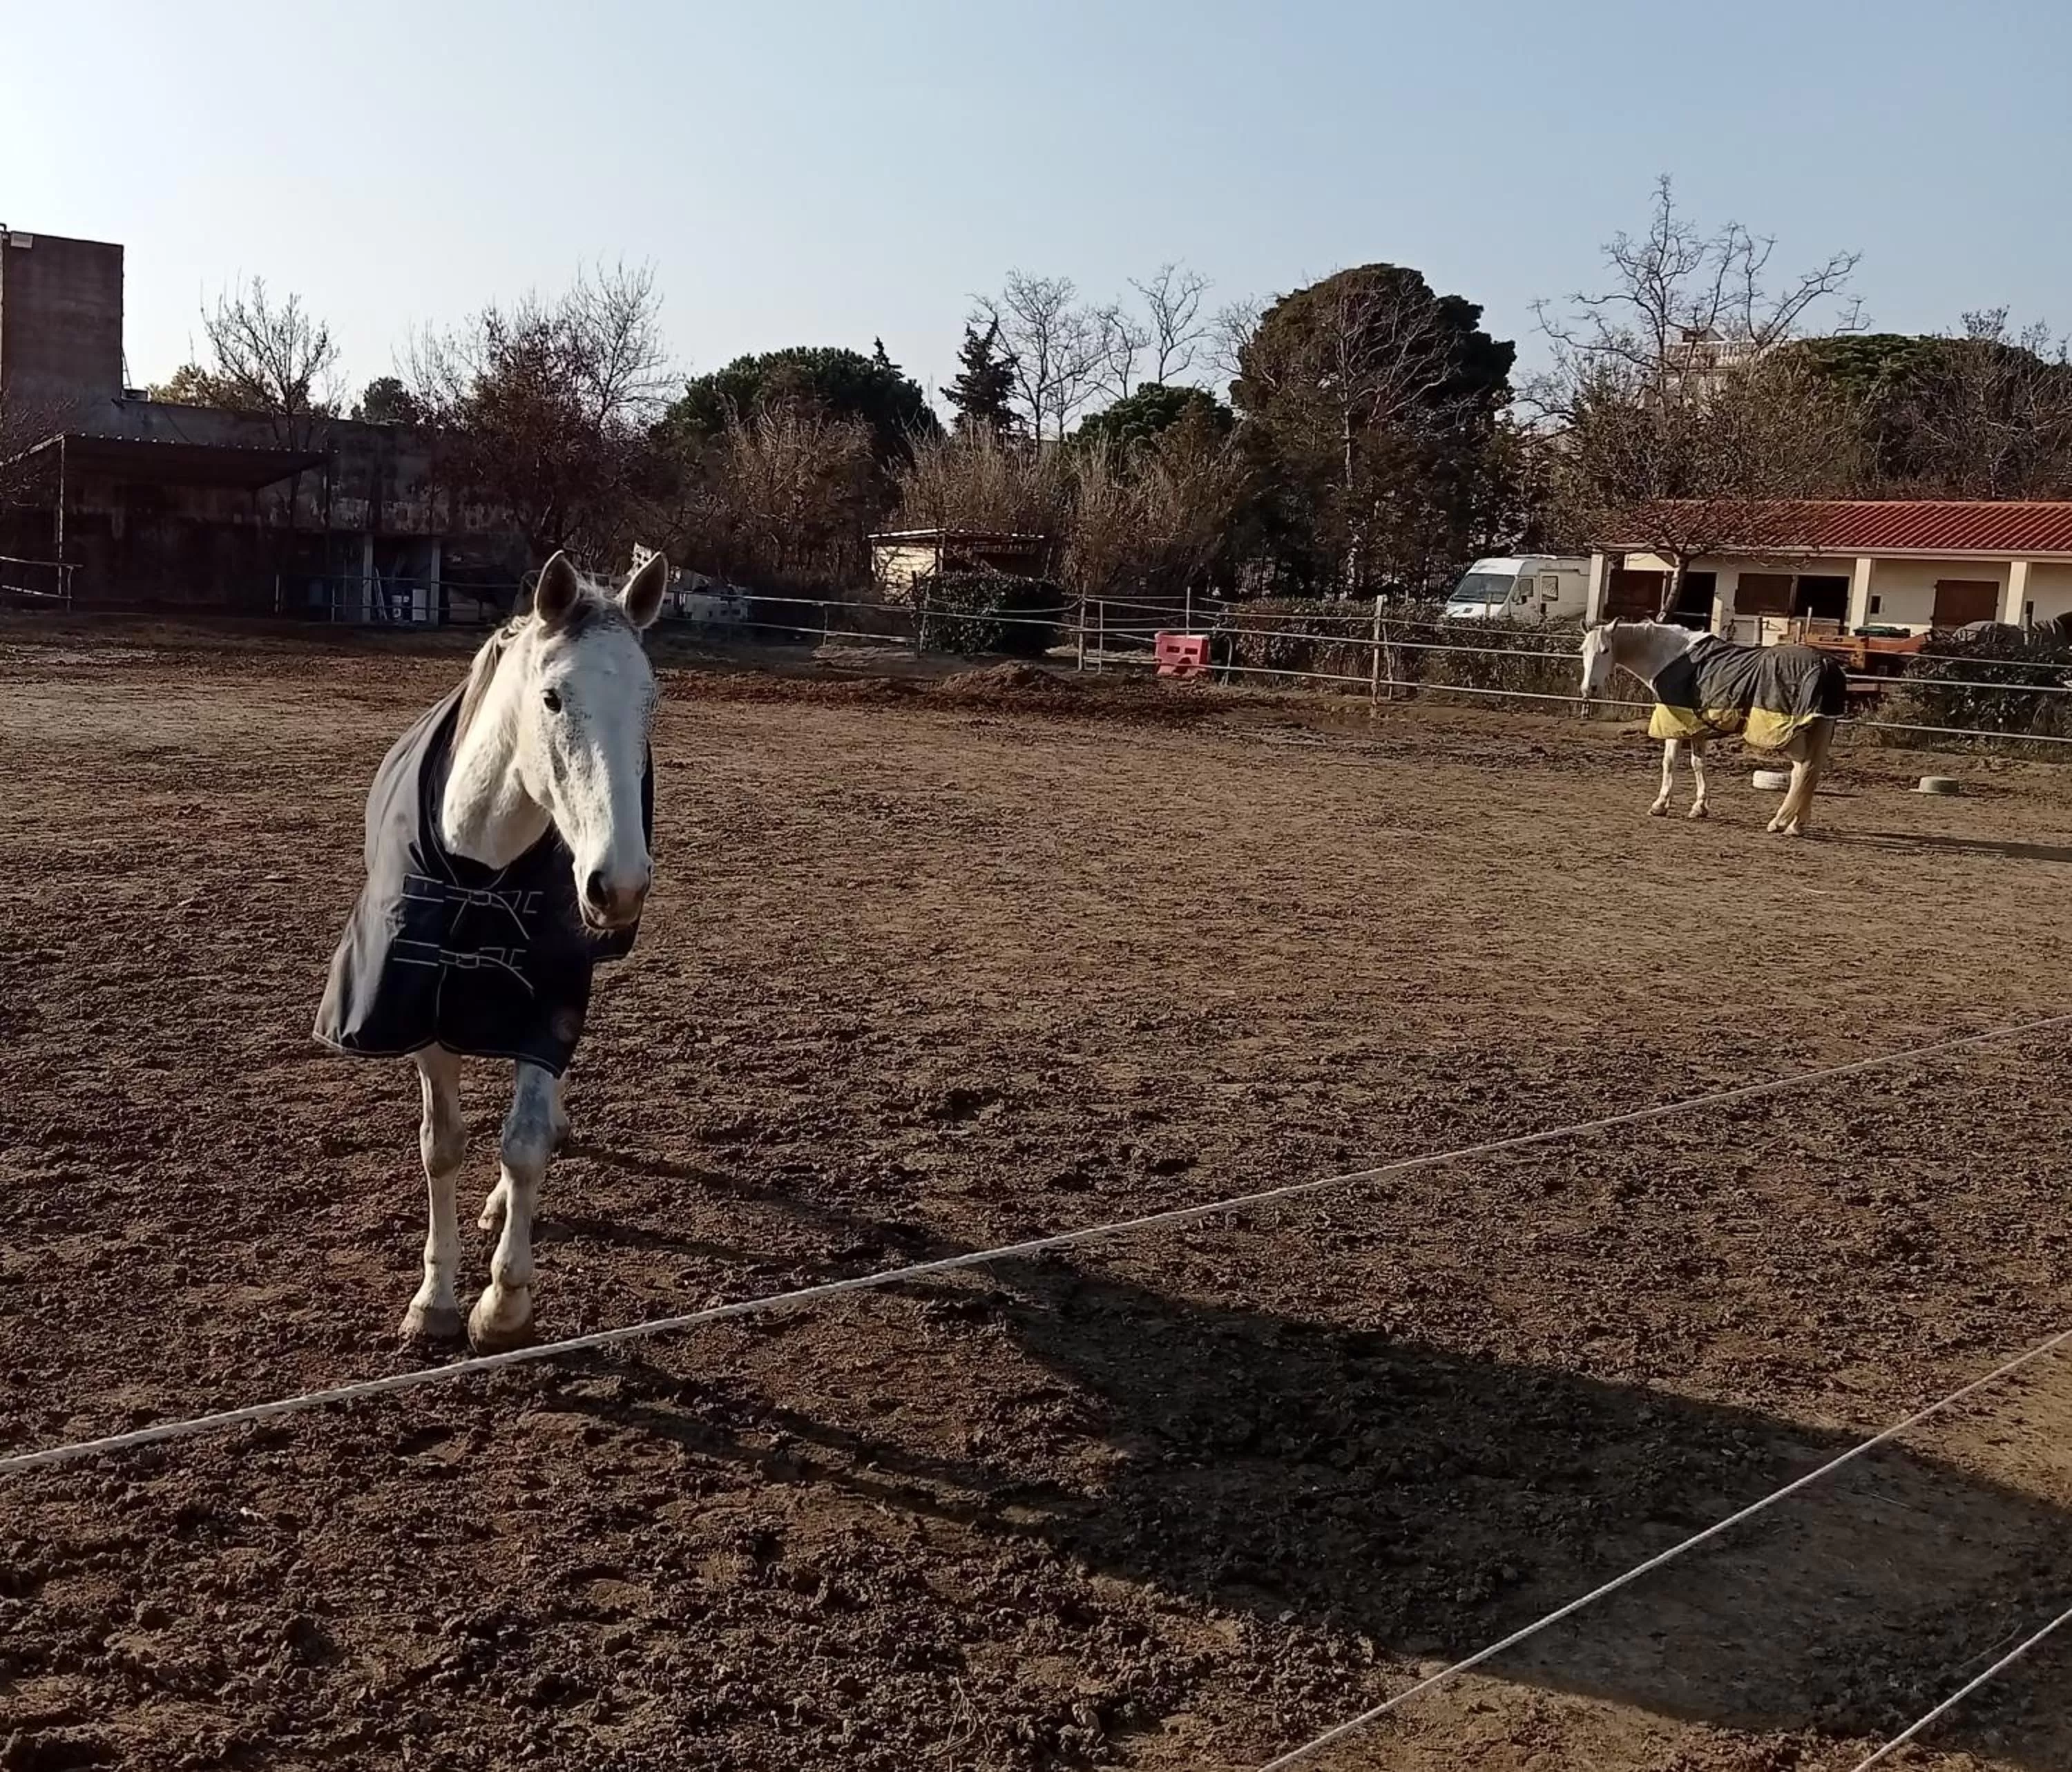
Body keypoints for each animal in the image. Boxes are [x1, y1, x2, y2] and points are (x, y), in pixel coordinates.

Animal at [315, 549, 669, 1351]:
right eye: (552, 699)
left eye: (651, 701)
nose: (618, 884)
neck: (479, 864)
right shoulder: (418, 1011)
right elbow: (442, 1144)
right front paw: (435, 1300)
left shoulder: (549, 1001)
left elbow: (525, 1141)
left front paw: (504, 1302)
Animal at [1579, 618, 1844, 836]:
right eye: (1583, 651)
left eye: (1605, 650)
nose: (1588, 689)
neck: (1671, 657)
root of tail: (1824, 663)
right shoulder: (1697, 729)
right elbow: (1698, 764)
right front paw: (1699, 808)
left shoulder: (1674, 723)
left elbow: (1669, 763)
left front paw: (1660, 805)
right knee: (1810, 772)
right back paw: (1796, 824)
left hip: (1785, 736)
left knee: (1802, 770)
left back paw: (1780, 823)